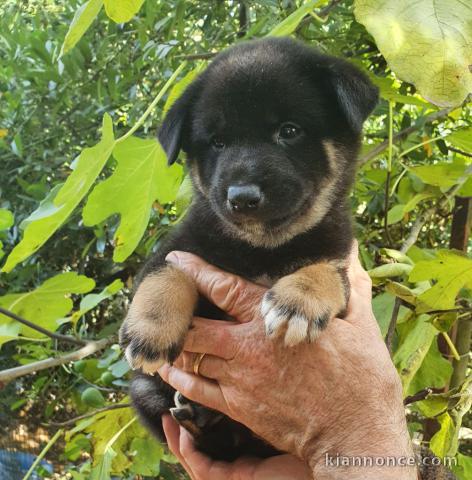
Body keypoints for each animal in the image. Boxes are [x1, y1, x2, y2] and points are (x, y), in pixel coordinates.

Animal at [120, 37, 378, 462]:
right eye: (217, 142)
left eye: (289, 130)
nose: (242, 197)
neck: (262, 249)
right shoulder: (179, 246)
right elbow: (167, 272)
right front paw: (150, 330)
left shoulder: (339, 257)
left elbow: (325, 271)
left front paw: (297, 301)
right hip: (144, 391)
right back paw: (197, 419)